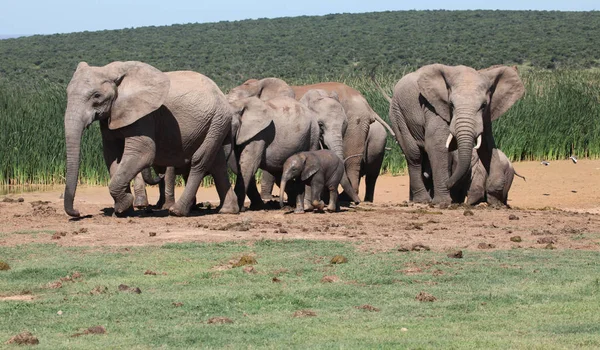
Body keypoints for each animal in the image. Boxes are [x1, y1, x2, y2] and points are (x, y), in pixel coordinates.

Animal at [62, 61, 237, 217]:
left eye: (97, 96)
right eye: (67, 93)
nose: (77, 213)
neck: (112, 72)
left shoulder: (145, 115)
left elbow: (142, 153)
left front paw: (124, 205)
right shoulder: (111, 115)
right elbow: (112, 156)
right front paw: (123, 210)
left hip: (217, 120)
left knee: (200, 160)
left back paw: (177, 211)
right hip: (216, 124)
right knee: (218, 163)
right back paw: (228, 210)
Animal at [376, 64, 524, 205]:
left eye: (483, 105)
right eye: (451, 104)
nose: (449, 184)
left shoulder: (487, 115)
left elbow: (487, 146)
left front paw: (495, 200)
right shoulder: (432, 106)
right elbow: (437, 144)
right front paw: (443, 202)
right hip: (397, 113)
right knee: (414, 154)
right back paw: (422, 200)